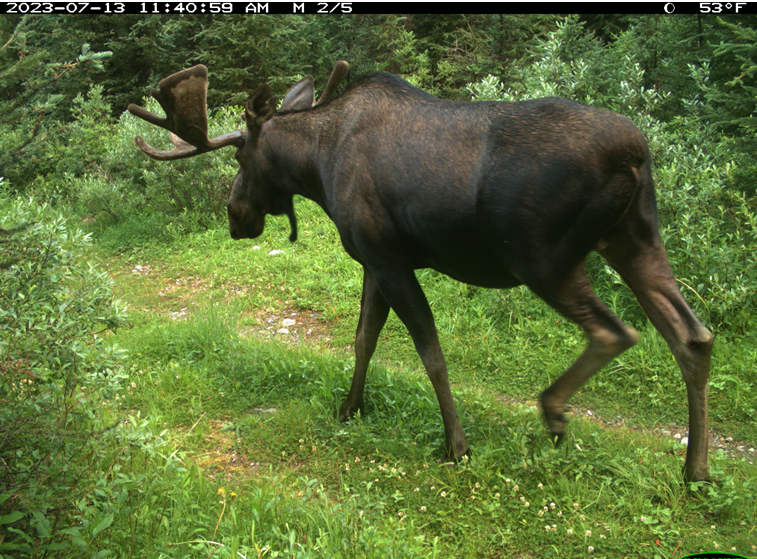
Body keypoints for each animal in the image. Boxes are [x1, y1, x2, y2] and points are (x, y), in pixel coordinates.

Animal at [127, 60, 714, 482]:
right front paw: (349, 407)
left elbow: (430, 353)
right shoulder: (373, 260)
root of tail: (635, 153)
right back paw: (695, 468)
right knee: (693, 335)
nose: (234, 216)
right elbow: (363, 339)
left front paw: (456, 445)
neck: (315, 167)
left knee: (617, 331)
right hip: (635, 237)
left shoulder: (388, 259)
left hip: (542, 256)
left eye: (240, 158)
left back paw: (553, 413)